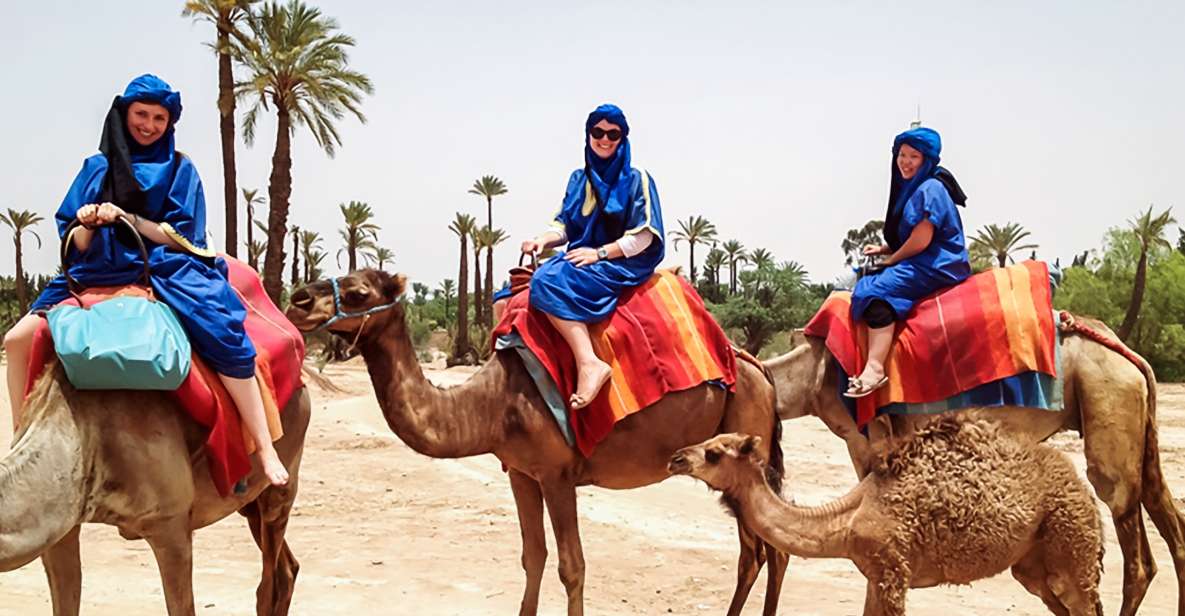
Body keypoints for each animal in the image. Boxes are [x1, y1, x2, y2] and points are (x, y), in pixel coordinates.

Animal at [0, 360, 312, 616]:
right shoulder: (62, 527)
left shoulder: (170, 524)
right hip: (249, 506)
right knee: (286, 569)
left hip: (282, 480)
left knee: (268, 585)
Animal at [284, 272, 786, 616]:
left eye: (358, 292)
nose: (297, 299)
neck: (493, 404)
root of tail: (759, 370)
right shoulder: (521, 473)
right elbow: (533, 556)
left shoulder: (557, 474)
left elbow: (571, 565)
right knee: (761, 551)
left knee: (762, 550)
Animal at [673, 414, 1104, 616]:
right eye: (711, 440)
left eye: (714, 453)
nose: (676, 457)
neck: (846, 520)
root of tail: (1084, 489)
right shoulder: (875, 575)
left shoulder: (895, 572)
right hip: (1033, 567)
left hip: (1072, 546)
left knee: (1085, 604)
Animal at [767, 324, 1185, 611]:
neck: (811, 376)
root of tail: (1129, 356)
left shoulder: (870, 438)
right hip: (1135, 422)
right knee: (1169, 522)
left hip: (1106, 398)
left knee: (1130, 540)